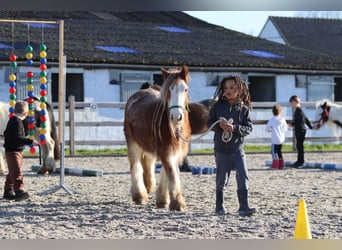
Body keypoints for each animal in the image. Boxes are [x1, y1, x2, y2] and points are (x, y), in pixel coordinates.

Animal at [124, 65, 191, 211]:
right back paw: (139, 196)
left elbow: (166, 173)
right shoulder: (166, 151)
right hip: (133, 143)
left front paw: (162, 200)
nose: (176, 117)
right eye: (169, 90)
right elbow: (172, 174)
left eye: (185, 89)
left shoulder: (175, 152)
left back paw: (149, 185)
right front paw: (177, 203)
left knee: (148, 164)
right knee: (136, 166)